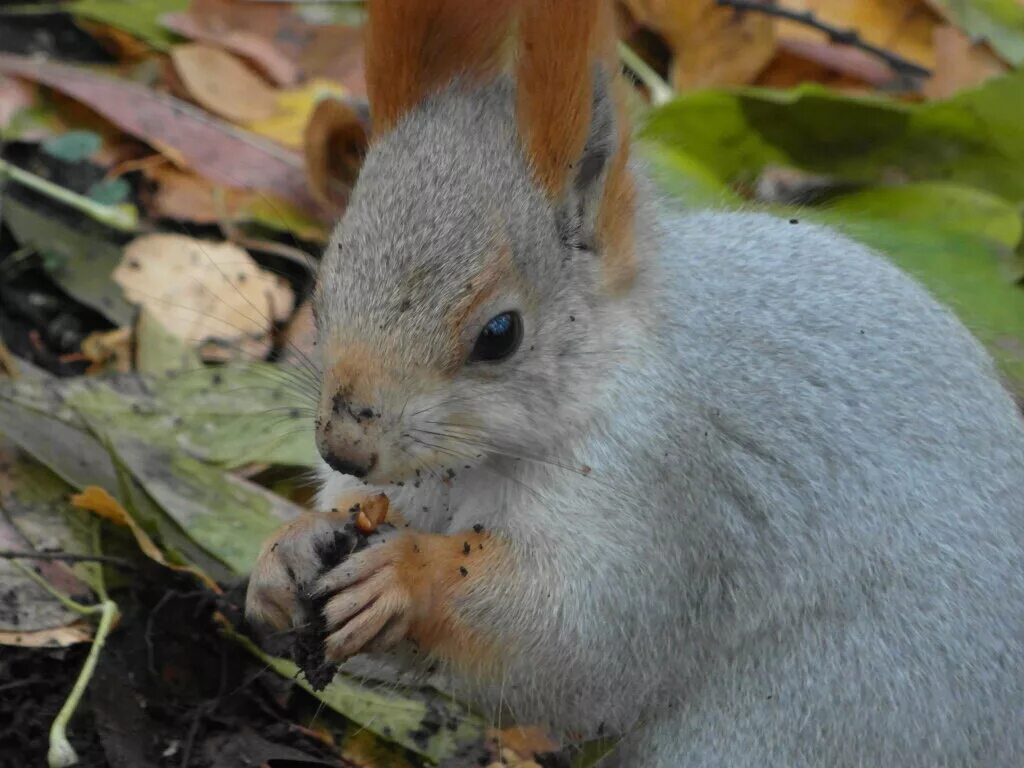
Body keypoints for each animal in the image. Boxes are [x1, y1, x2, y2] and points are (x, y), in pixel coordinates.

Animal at [245, 1, 1024, 765]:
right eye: (324, 285)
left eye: (500, 334)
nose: (345, 446)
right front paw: (288, 550)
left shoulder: (670, 492)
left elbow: (580, 642)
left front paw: (408, 576)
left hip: (808, 715)